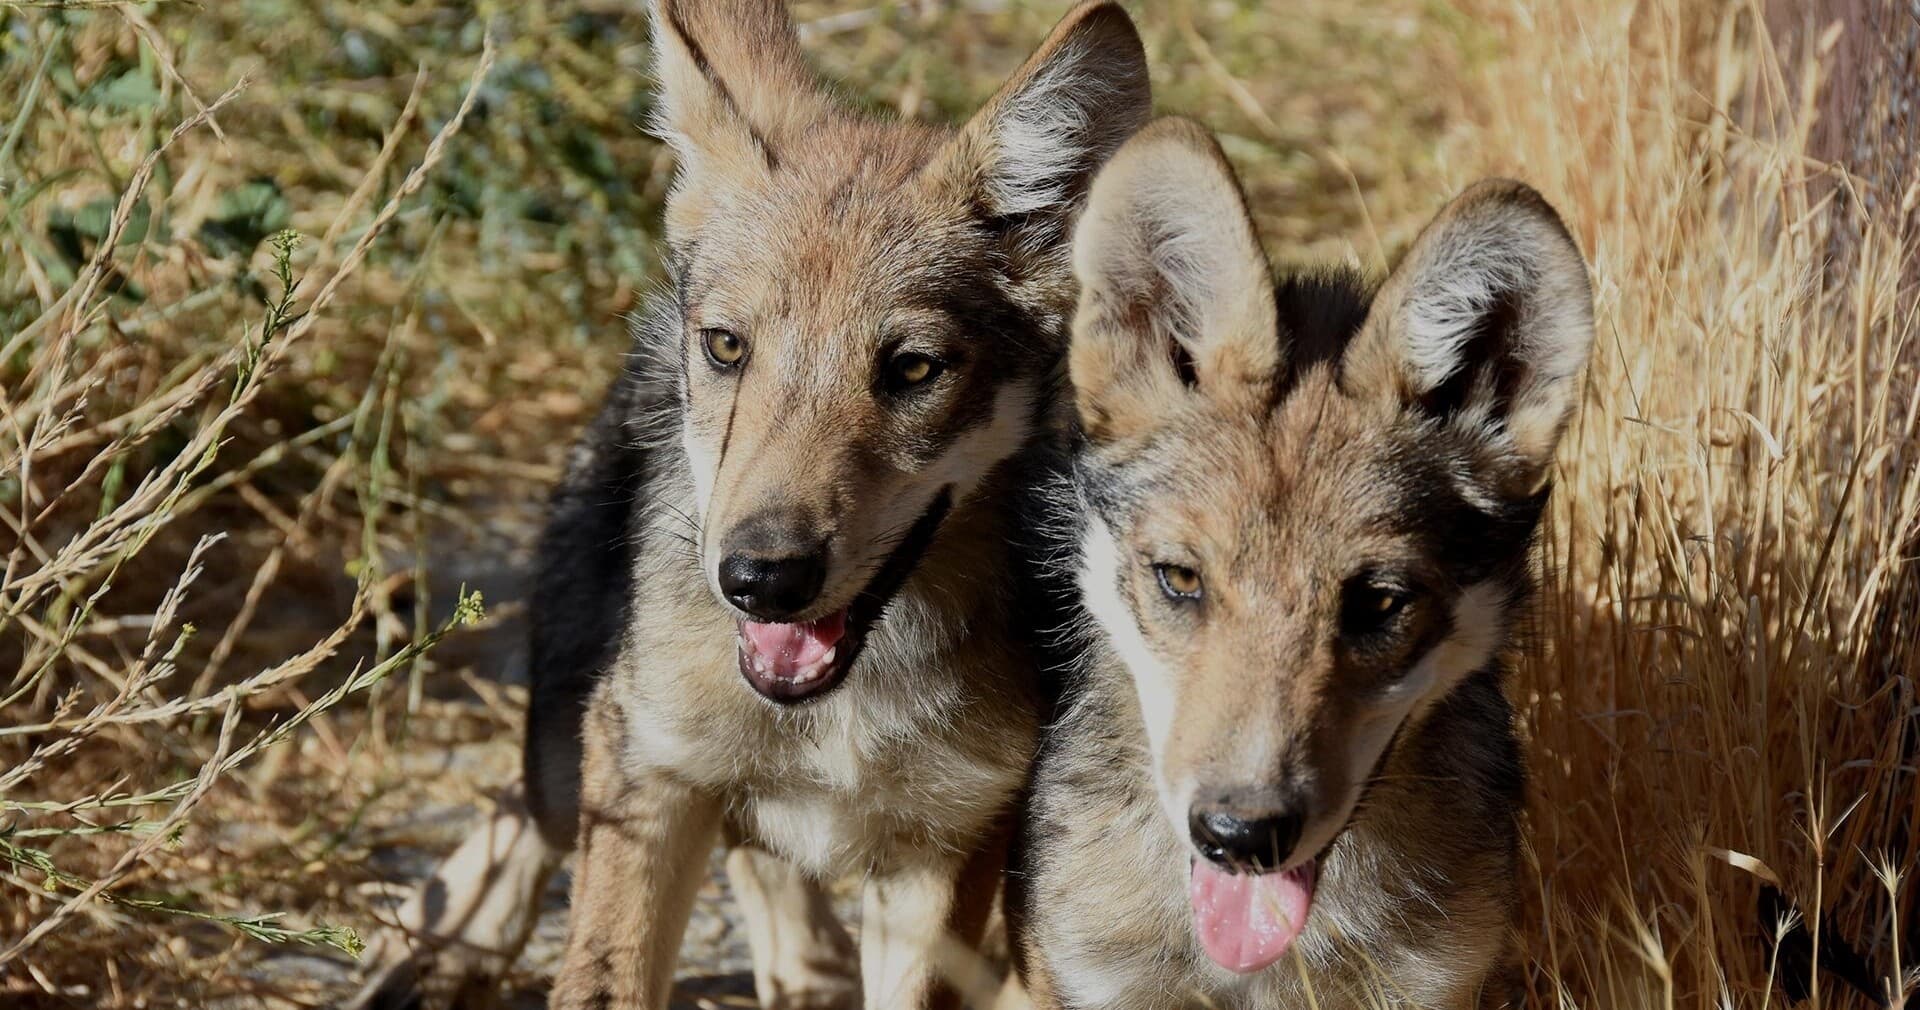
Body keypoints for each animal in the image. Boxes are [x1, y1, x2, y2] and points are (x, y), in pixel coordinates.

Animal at [345, 3, 1149, 1008]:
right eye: (729, 347)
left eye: (913, 369)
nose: (760, 580)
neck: (838, 712)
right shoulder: (650, 776)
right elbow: (607, 970)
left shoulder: (946, 847)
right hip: (582, 737)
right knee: (528, 807)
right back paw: (442, 943)